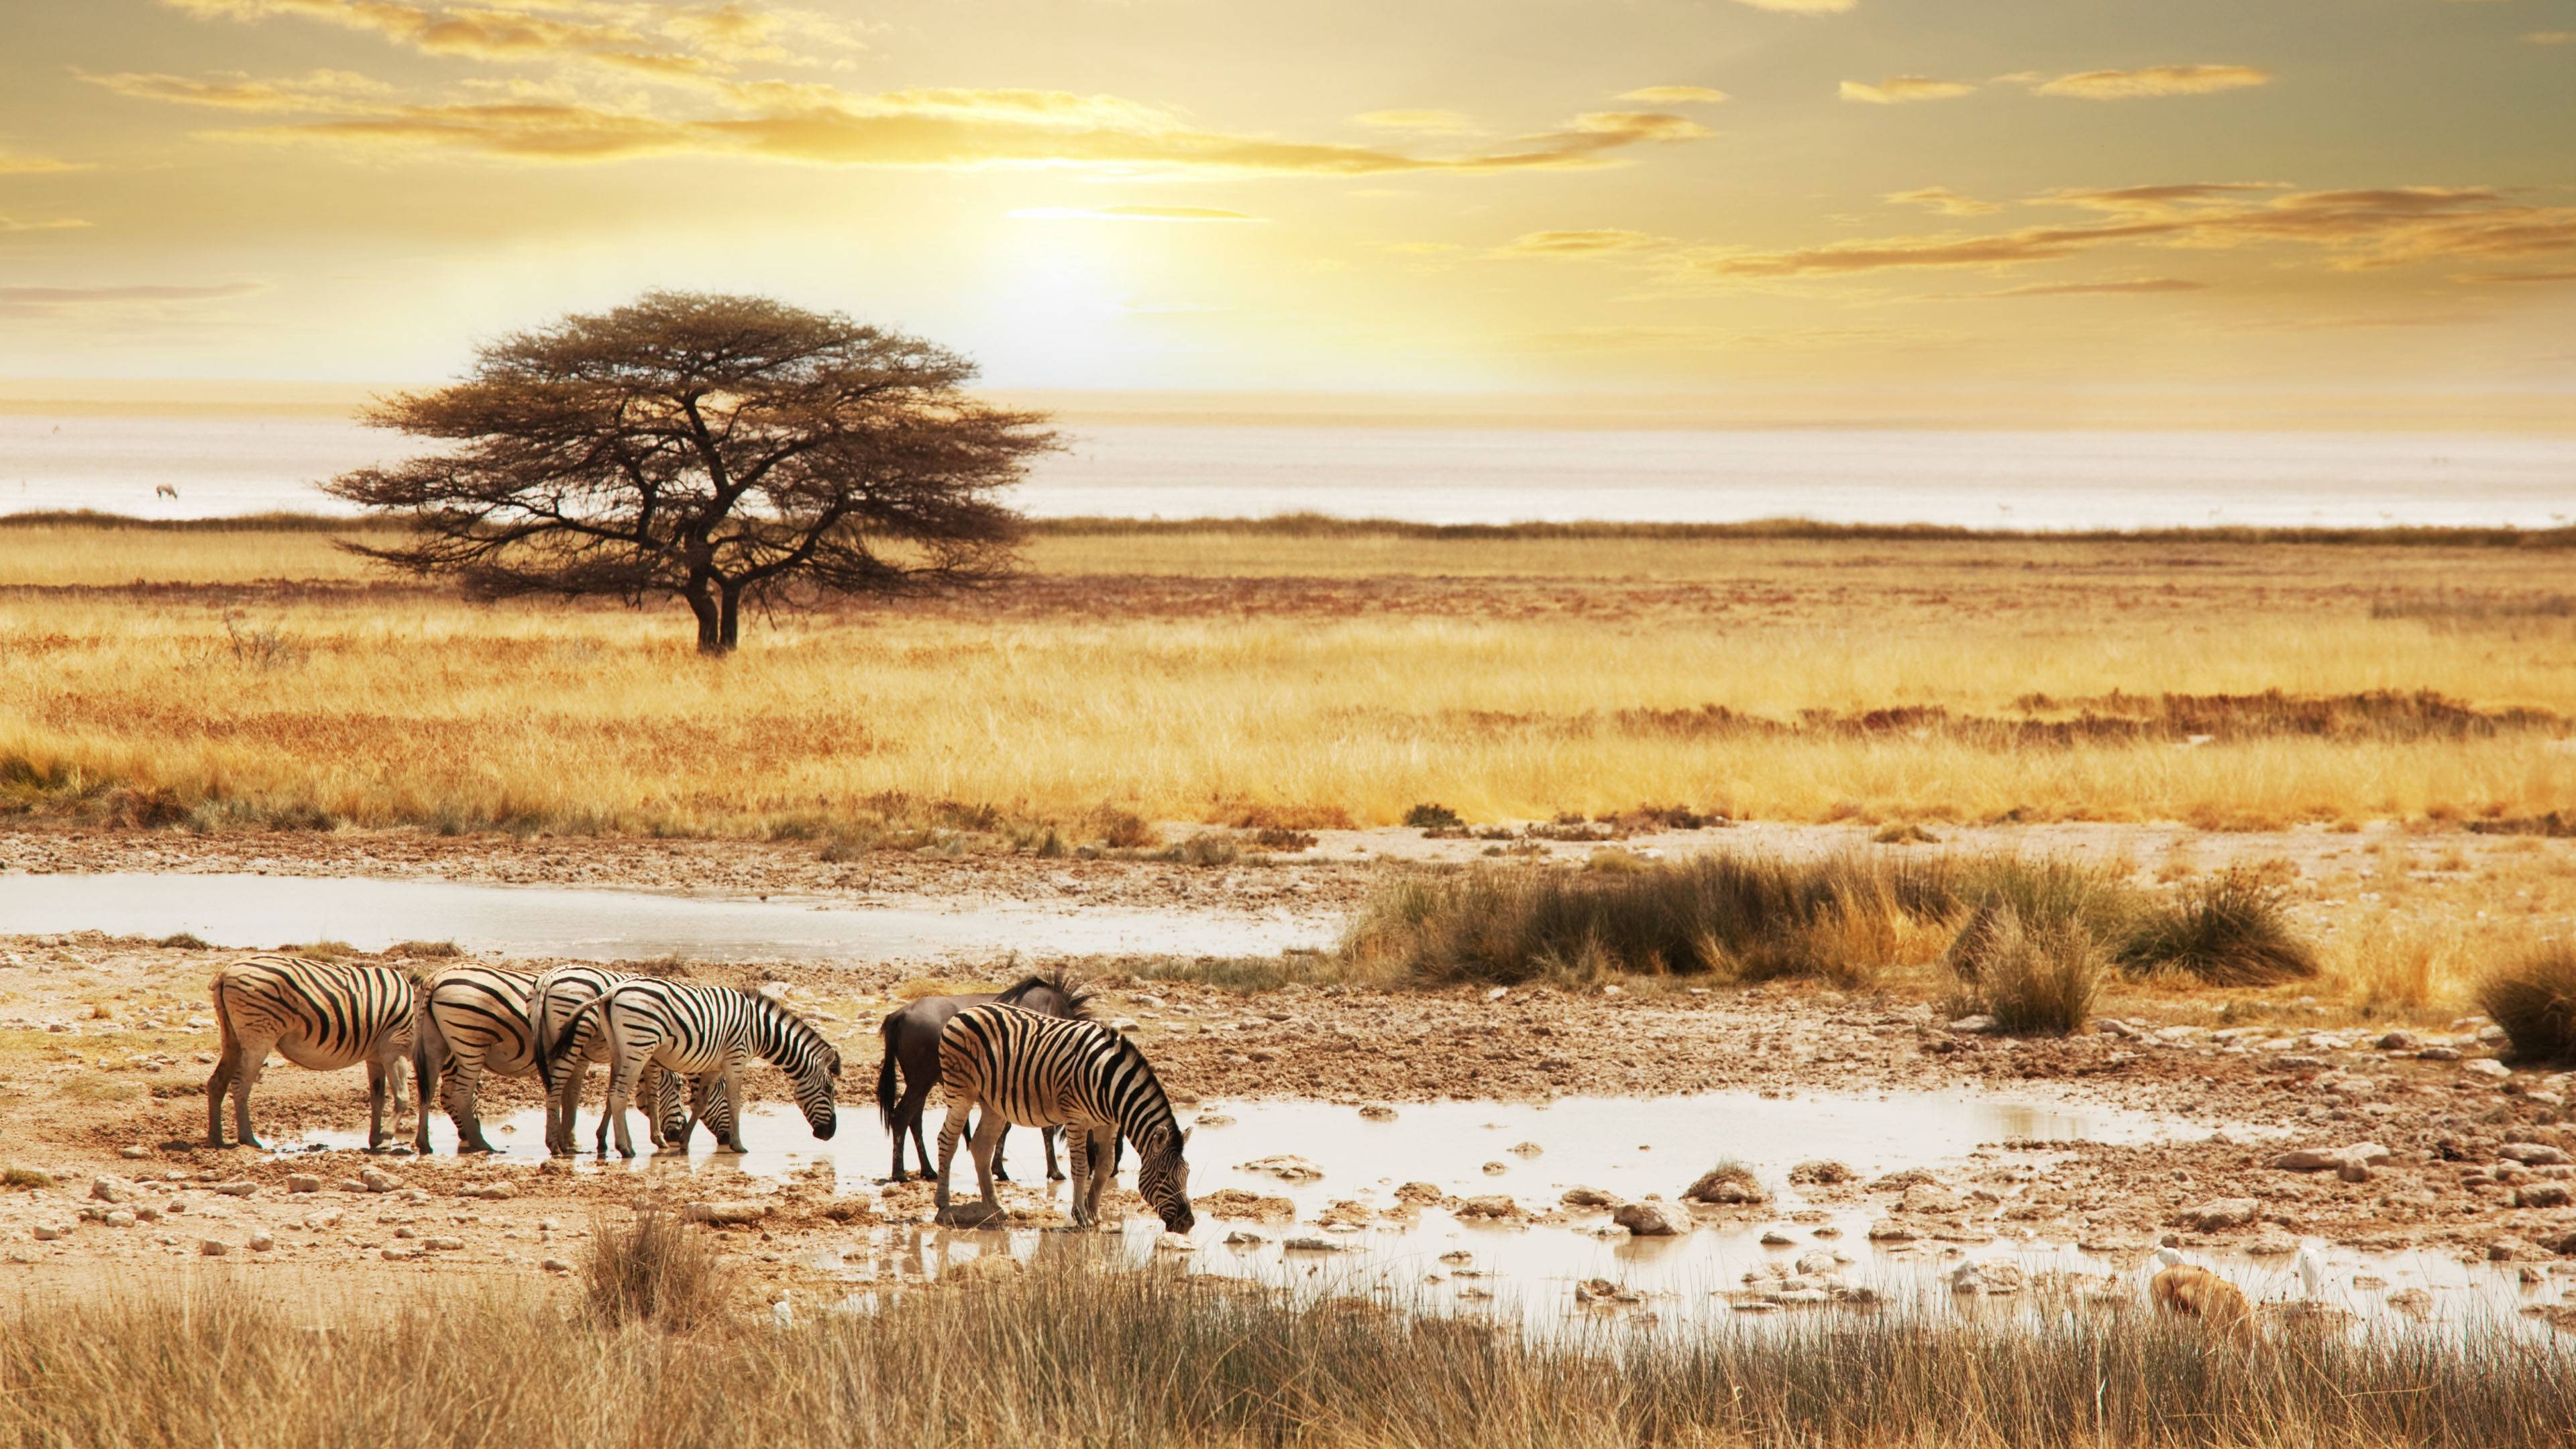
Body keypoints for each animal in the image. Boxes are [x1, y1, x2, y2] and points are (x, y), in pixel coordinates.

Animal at [207, 954, 422, 1144]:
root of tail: (226, 972)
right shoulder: (395, 1050)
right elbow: (402, 1097)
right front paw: (386, 1138)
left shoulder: (375, 1057)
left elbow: (378, 1099)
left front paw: (376, 1139)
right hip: (259, 1036)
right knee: (241, 1084)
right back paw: (248, 1139)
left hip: (231, 1037)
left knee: (217, 1081)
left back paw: (216, 1138)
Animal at [409, 964, 680, 1155]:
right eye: (678, 1087)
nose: (677, 1135)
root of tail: (436, 977)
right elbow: (648, 1094)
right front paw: (657, 1139)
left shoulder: (599, 1054)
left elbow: (582, 1096)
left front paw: (581, 1139)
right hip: (472, 1042)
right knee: (459, 1095)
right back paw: (481, 1143)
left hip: (435, 1044)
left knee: (427, 1091)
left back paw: (426, 1143)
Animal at [543, 969, 845, 1150]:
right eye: (829, 1089)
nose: (829, 1134)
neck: (760, 1031)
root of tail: (611, 992)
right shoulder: (737, 1058)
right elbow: (735, 1102)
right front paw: (738, 1145)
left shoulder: (714, 1066)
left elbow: (701, 1104)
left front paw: (686, 1142)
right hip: (639, 1044)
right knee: (617, 1094)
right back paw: (625, 1148)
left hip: (620, 1048)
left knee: (613, 1093)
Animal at [937, 1005, 1195, 1227]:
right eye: (1163, 1175)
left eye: (1187, 1174)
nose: (1188, 1223)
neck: (1108, 1082)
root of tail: (967, 1010)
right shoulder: (1076, 1119)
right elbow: (1081, 1167)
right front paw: (1081, 1215)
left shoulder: (1108, 1124)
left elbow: (1105, 1166)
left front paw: (1095, 1214)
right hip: (960, 1092)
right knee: (947, 1141)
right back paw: (943, 1206)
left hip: (993, 1104)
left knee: (981, 1146)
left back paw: (996, 1209)